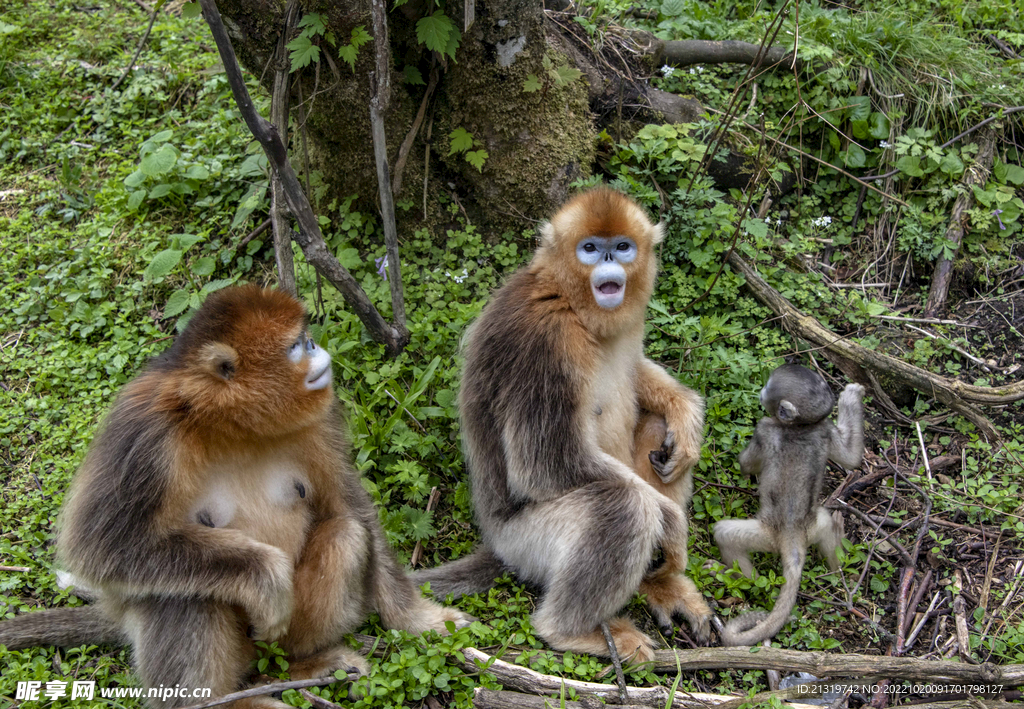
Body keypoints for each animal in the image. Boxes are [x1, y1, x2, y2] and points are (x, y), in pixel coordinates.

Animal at [415, 186, 712, 659]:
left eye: (621, 247)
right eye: (589, 249)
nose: (608, 261)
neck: (569, 301)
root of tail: (495, 542)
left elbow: (639, 380)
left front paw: (684, 412)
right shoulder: (545, 340)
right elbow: (543, 466)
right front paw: (671, 521)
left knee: (654, 429)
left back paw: (662, 585)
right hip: (525, 544)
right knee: (625, 504)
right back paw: (570, 630)